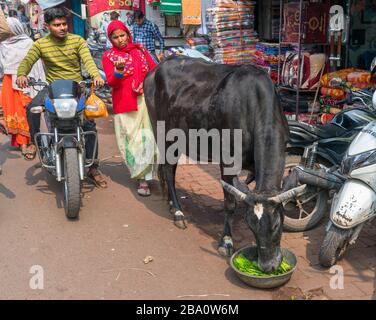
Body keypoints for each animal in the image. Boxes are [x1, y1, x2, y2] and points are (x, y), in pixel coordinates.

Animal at [144, 56, 294, 272]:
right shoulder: (228, 161)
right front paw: (226, 241)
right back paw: (179, 213)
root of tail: (156, 68)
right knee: (169, 172)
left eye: (276, 225)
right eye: (251, 225)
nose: (268, 266)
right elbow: (229, 203)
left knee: (166, 169)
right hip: (163, 134)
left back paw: (172, 205)